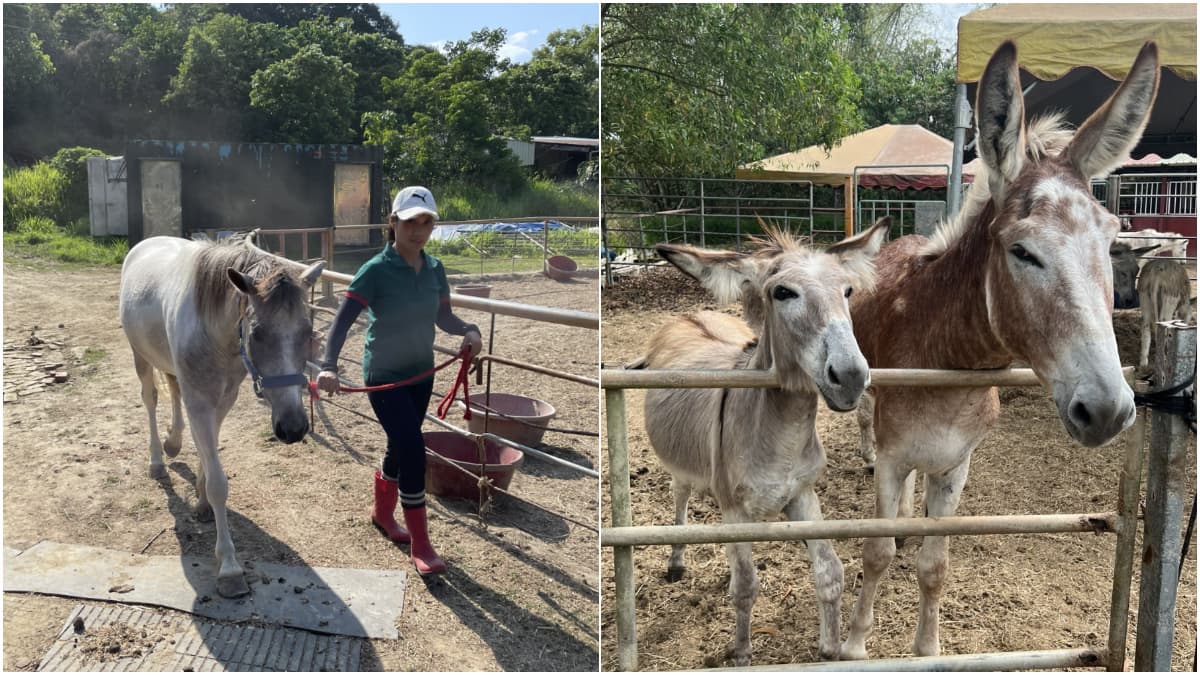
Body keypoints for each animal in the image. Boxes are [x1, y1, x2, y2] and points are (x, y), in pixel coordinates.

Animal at [119, 234, 324, 598]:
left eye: (307, 331)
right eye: (257, 333)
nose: (293, 428)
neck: (214, 334)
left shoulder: (222, 399)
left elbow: (208, 447)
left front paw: (201, 501)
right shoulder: (200, 401)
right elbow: (218, 482)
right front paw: (228, 566)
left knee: (173, 390)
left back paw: (173, 444)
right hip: (140, 356)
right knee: (151, 399)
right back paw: (157, 459)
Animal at [631, 218, 890, 665]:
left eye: (847, 292)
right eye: (783, 292)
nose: (852, 376)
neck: (780, 437)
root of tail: (690, 314)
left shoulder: (802, 494)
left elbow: (831, 572)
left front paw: (830, 649)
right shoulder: (735, 510)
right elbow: (747, 587)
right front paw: (741, 653)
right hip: (682, 465)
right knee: (681, 496)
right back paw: (677, 561)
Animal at [841, 41, 1158, 660]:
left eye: (1111, 244)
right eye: (1022, 251)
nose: (1108, 410)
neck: (948, 362)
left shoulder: (956, 464)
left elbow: (934, 565)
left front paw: (927, 652)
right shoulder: (893, 457)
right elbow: (876, 552)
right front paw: (853, 647)